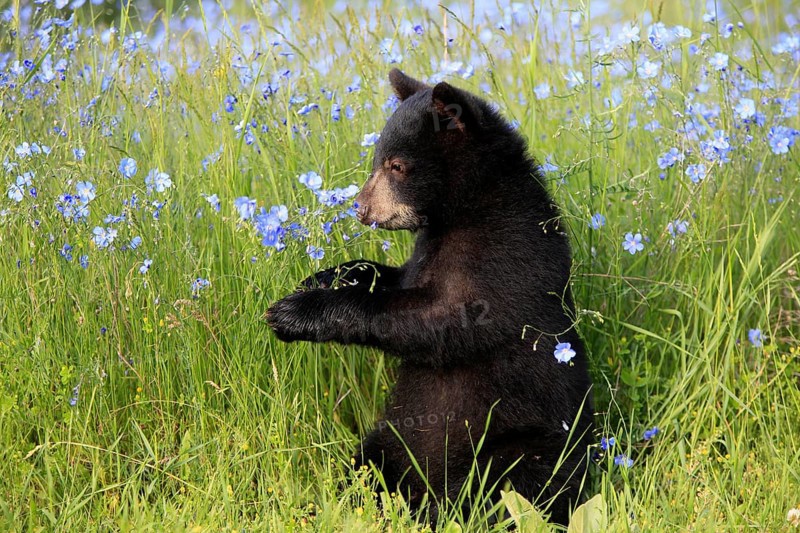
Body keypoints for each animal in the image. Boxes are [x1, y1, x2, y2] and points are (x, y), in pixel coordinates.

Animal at [267, 69, 593, 526]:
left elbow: (441, 319)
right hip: (391, 438)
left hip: (527, 443)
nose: (360, 208)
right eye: (377, 161)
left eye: (397, 165)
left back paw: (434, 510)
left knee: (503, 487)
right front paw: (323, 277)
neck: (466, 209)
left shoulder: (504, 256)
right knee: (368, 464)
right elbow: (390, 278)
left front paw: (296, 312)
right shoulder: (427, 252)